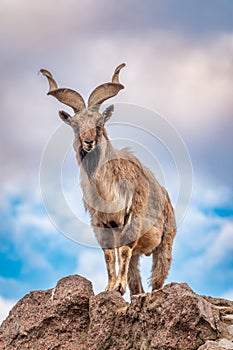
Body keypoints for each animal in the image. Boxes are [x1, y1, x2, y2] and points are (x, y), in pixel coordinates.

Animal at [41, 63, 176, 296]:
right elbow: (109, 255)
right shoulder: (100, 223)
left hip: (165, 242)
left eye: (99, 123)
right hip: (140, 252)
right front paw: (110, 287)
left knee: (158, 277)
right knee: (136, 280)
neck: (108, 190)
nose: (88, 142)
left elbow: (122, 251)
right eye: (75, 125)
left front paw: (119, 287)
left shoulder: (132, 217)